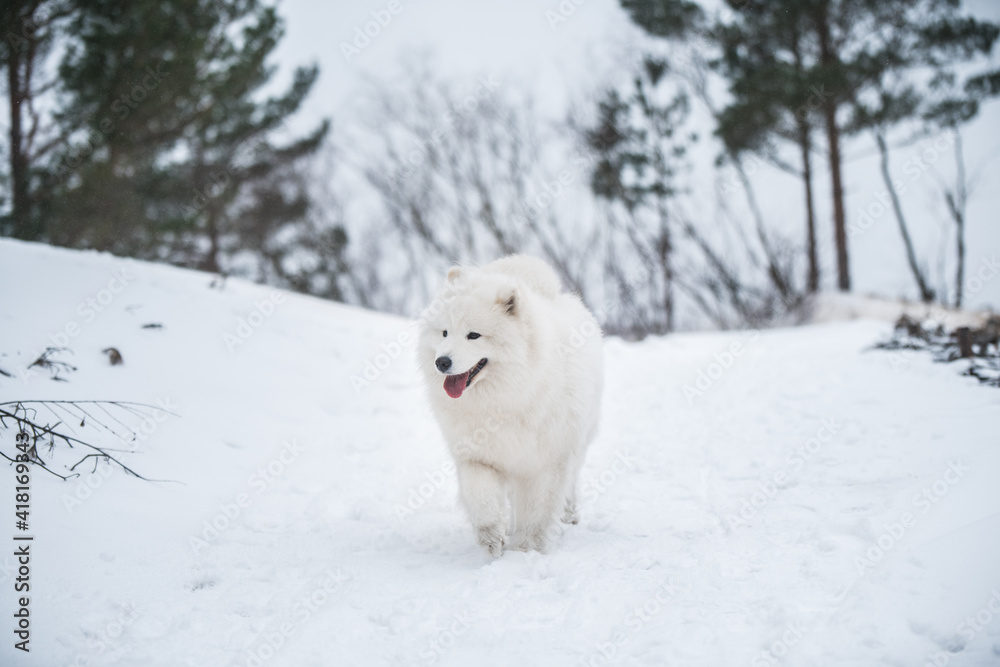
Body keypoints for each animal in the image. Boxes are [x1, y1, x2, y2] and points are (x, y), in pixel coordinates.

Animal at [416, 258, 600, 560]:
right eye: (444, 332)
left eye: (473, 335)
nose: (441, 362)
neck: (503, 400)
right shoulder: (476, 456)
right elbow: (481, 499)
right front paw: (493, 537)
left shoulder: (544, 463)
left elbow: (536, 513)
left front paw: (525, 551)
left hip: (577, 443)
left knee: (571, 482)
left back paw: (569, 515)